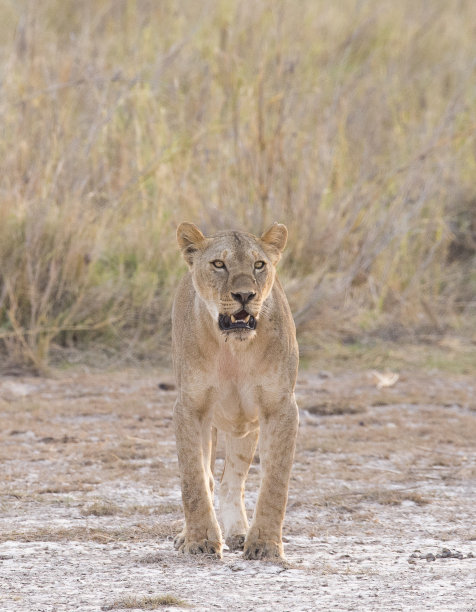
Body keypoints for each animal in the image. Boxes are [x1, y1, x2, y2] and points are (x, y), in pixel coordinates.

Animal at [171, 221, 298, 560]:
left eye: (259, 265)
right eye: (219, 264)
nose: (244, 295)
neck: (234, 351)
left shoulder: (280, 407)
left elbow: (275, 482)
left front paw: (265, 545)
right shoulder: (190, 407)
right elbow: (193, 479)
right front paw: (199, 540)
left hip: (246, 428)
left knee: (232, 482)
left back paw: (239, 532)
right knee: (210, 478)